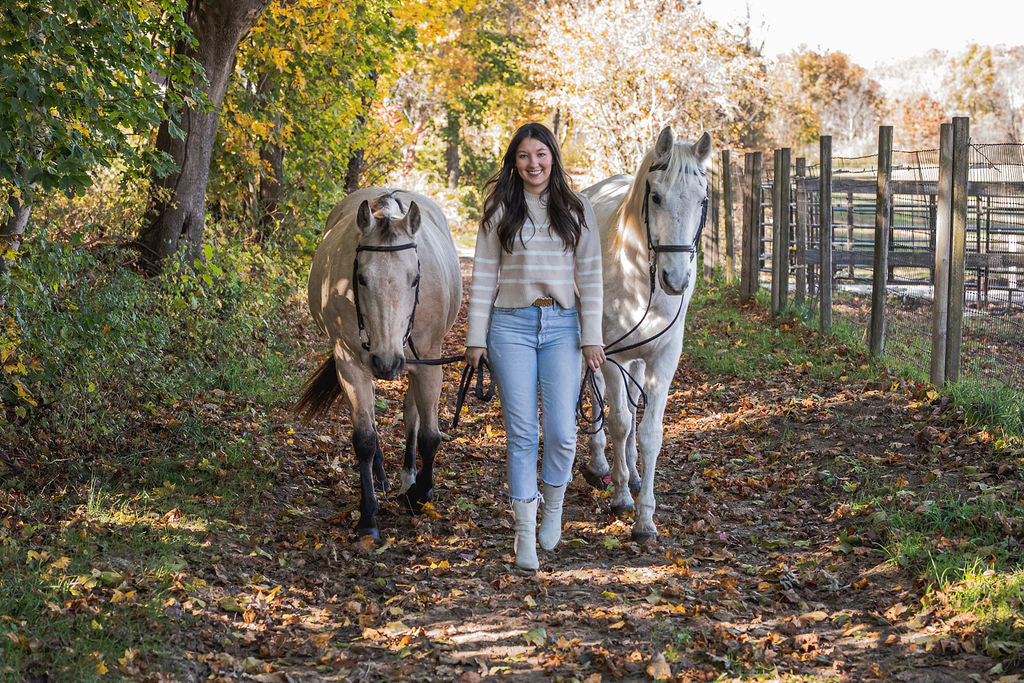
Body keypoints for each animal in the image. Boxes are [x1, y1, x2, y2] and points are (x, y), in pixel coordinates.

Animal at [295, 188, 463, 541]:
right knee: (372, 418)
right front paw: (368, 517)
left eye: (415, 278)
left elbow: (430, 436)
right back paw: (383, 475)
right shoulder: (349, 363)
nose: (386, 362)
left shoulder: (429, 363)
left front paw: (421, 494)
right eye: (360, 278)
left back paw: (408, 476)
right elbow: (364, 439)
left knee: (412, 417)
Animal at [582, 126, 712, 542]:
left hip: (638, 359)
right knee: (598, 399)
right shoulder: (610, 355)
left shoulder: (663, 358)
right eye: (655, 196)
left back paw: (633, 472)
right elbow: (621, 422)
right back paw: (601, 465)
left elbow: (649, 432)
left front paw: (645, 518)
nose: (676, 279)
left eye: (703, 200)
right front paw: (622, 497)